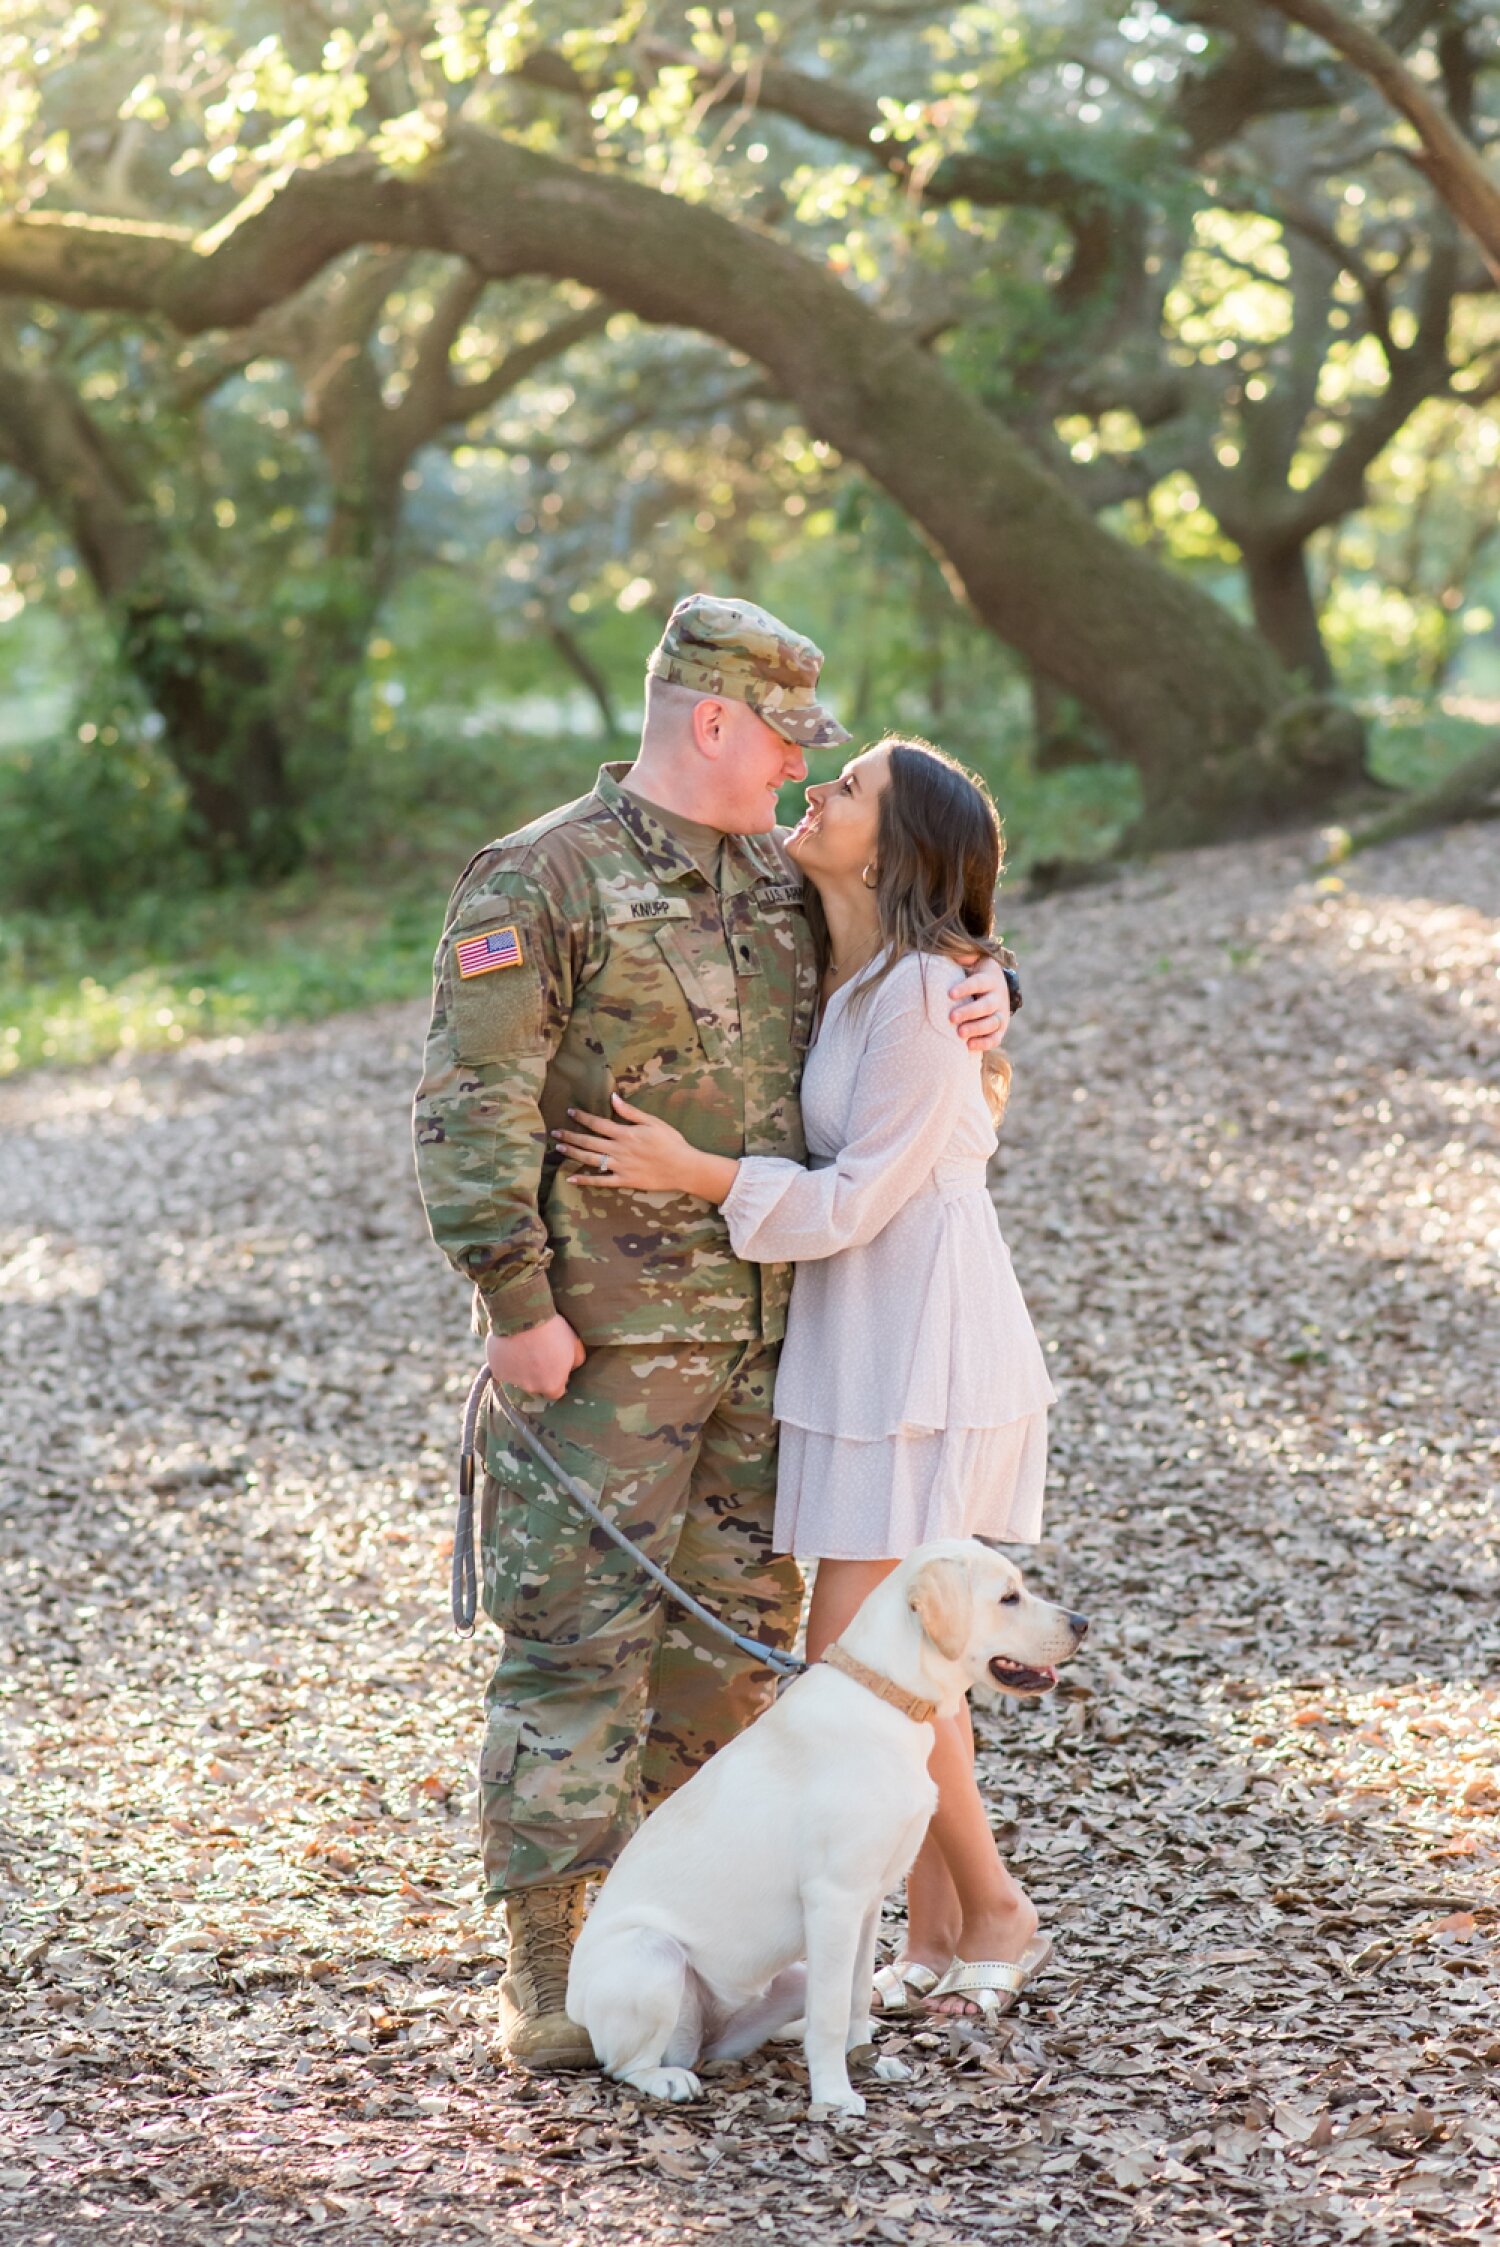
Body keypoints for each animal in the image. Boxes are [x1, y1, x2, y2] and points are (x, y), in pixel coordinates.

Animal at [568, 1536, 1082, 2112]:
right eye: (1009, 1597)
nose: (1082, 1623)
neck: (887, 1697)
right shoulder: (834, 1899)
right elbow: (834, 2014)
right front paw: (835, 2094)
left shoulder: (868, 1902)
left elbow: (854, 1997)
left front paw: (866, 2060)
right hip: (652, 1957)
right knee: (624, 2064)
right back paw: (668, 2079)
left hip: (788, 1976)